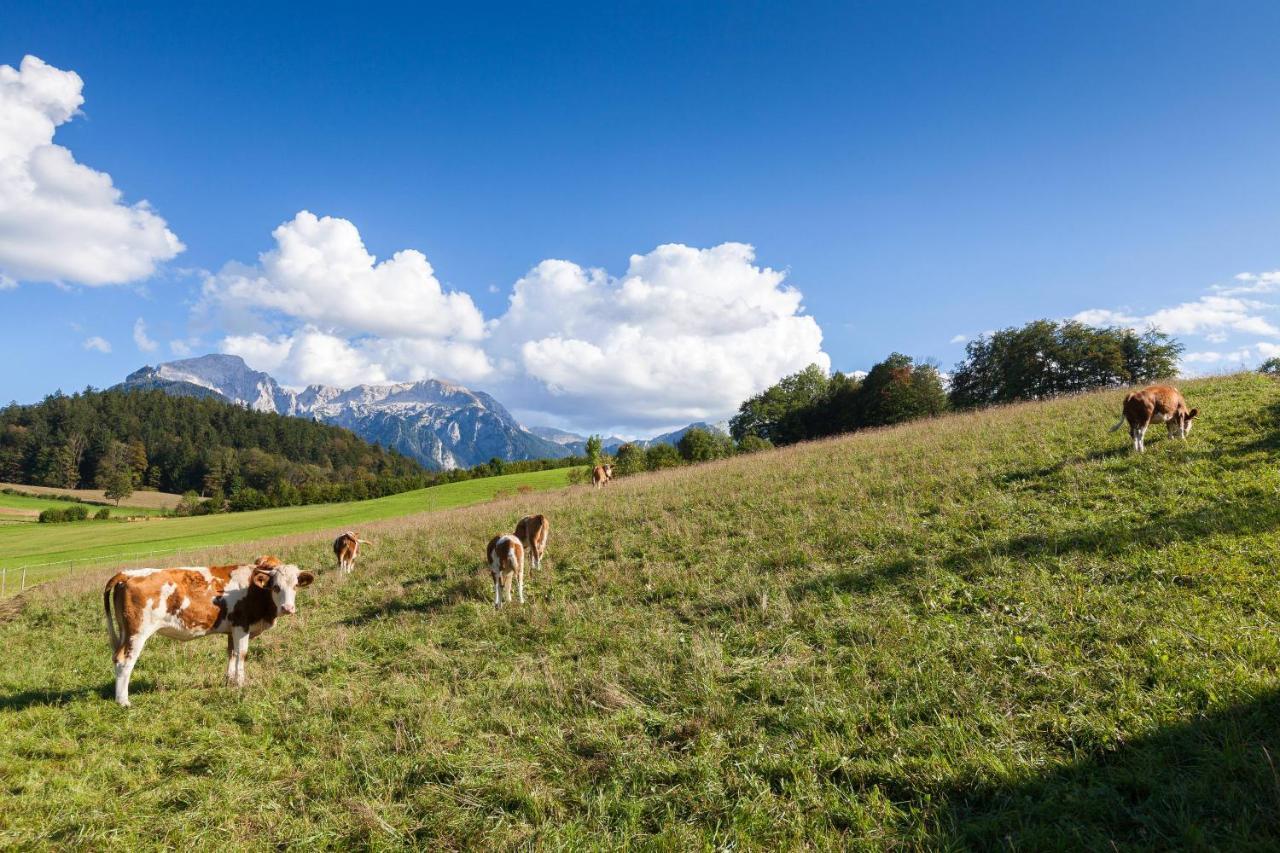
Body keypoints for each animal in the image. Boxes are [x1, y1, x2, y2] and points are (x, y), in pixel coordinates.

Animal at [101, 550, 316, 701]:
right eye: (276, 586)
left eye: (295, 586)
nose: (288, 608)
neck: (255, 589)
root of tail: (128, 573)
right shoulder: (241, 625)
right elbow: (242, 654)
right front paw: (241, 684)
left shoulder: (231, 629)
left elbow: (231, 653)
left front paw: (229, 682)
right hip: (137, 633)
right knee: (125, 661)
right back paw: (123, 701)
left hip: (124, 631)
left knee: (117, 657)